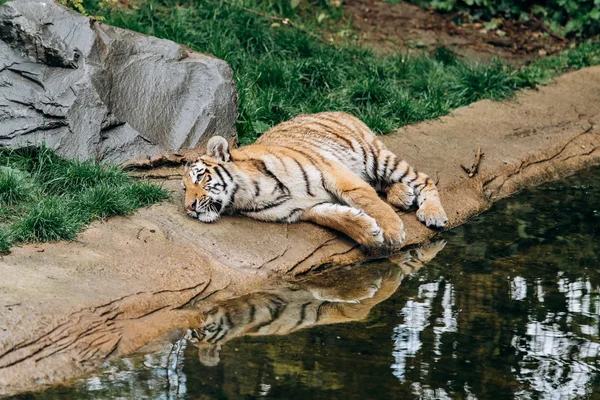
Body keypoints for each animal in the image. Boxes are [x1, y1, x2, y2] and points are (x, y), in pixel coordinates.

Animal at [182, 109, 446, 247]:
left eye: (199, 177)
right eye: (184, 189)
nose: (189, 207)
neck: (248, 193)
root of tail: (340, 110)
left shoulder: (336, 174)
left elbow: (368, 200)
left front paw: (392, 231)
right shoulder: (305, 208)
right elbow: (336, 218)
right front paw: (369, 233)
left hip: (376, 157)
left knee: (423, 179)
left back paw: (433, 213)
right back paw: (403, 195)